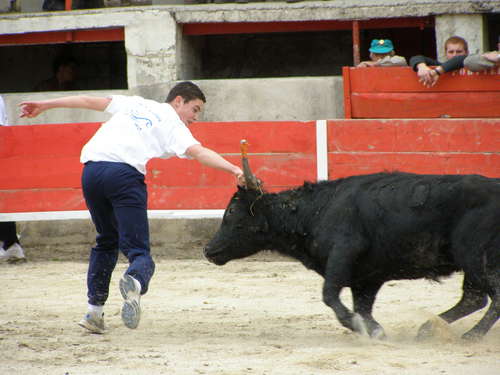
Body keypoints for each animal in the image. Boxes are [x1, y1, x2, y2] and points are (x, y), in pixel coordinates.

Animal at [203, 173, 500, 340]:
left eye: (231, 212)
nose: (207, 249)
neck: (316, 211)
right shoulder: (366, 277)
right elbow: (363, 308)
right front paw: (374, 330)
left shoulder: (343, 253)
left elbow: (330, 296)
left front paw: (364, 329)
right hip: (473, 265)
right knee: (473, 298)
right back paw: (428, 329)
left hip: (476, 258)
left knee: (490, 298)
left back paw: (471, 336)